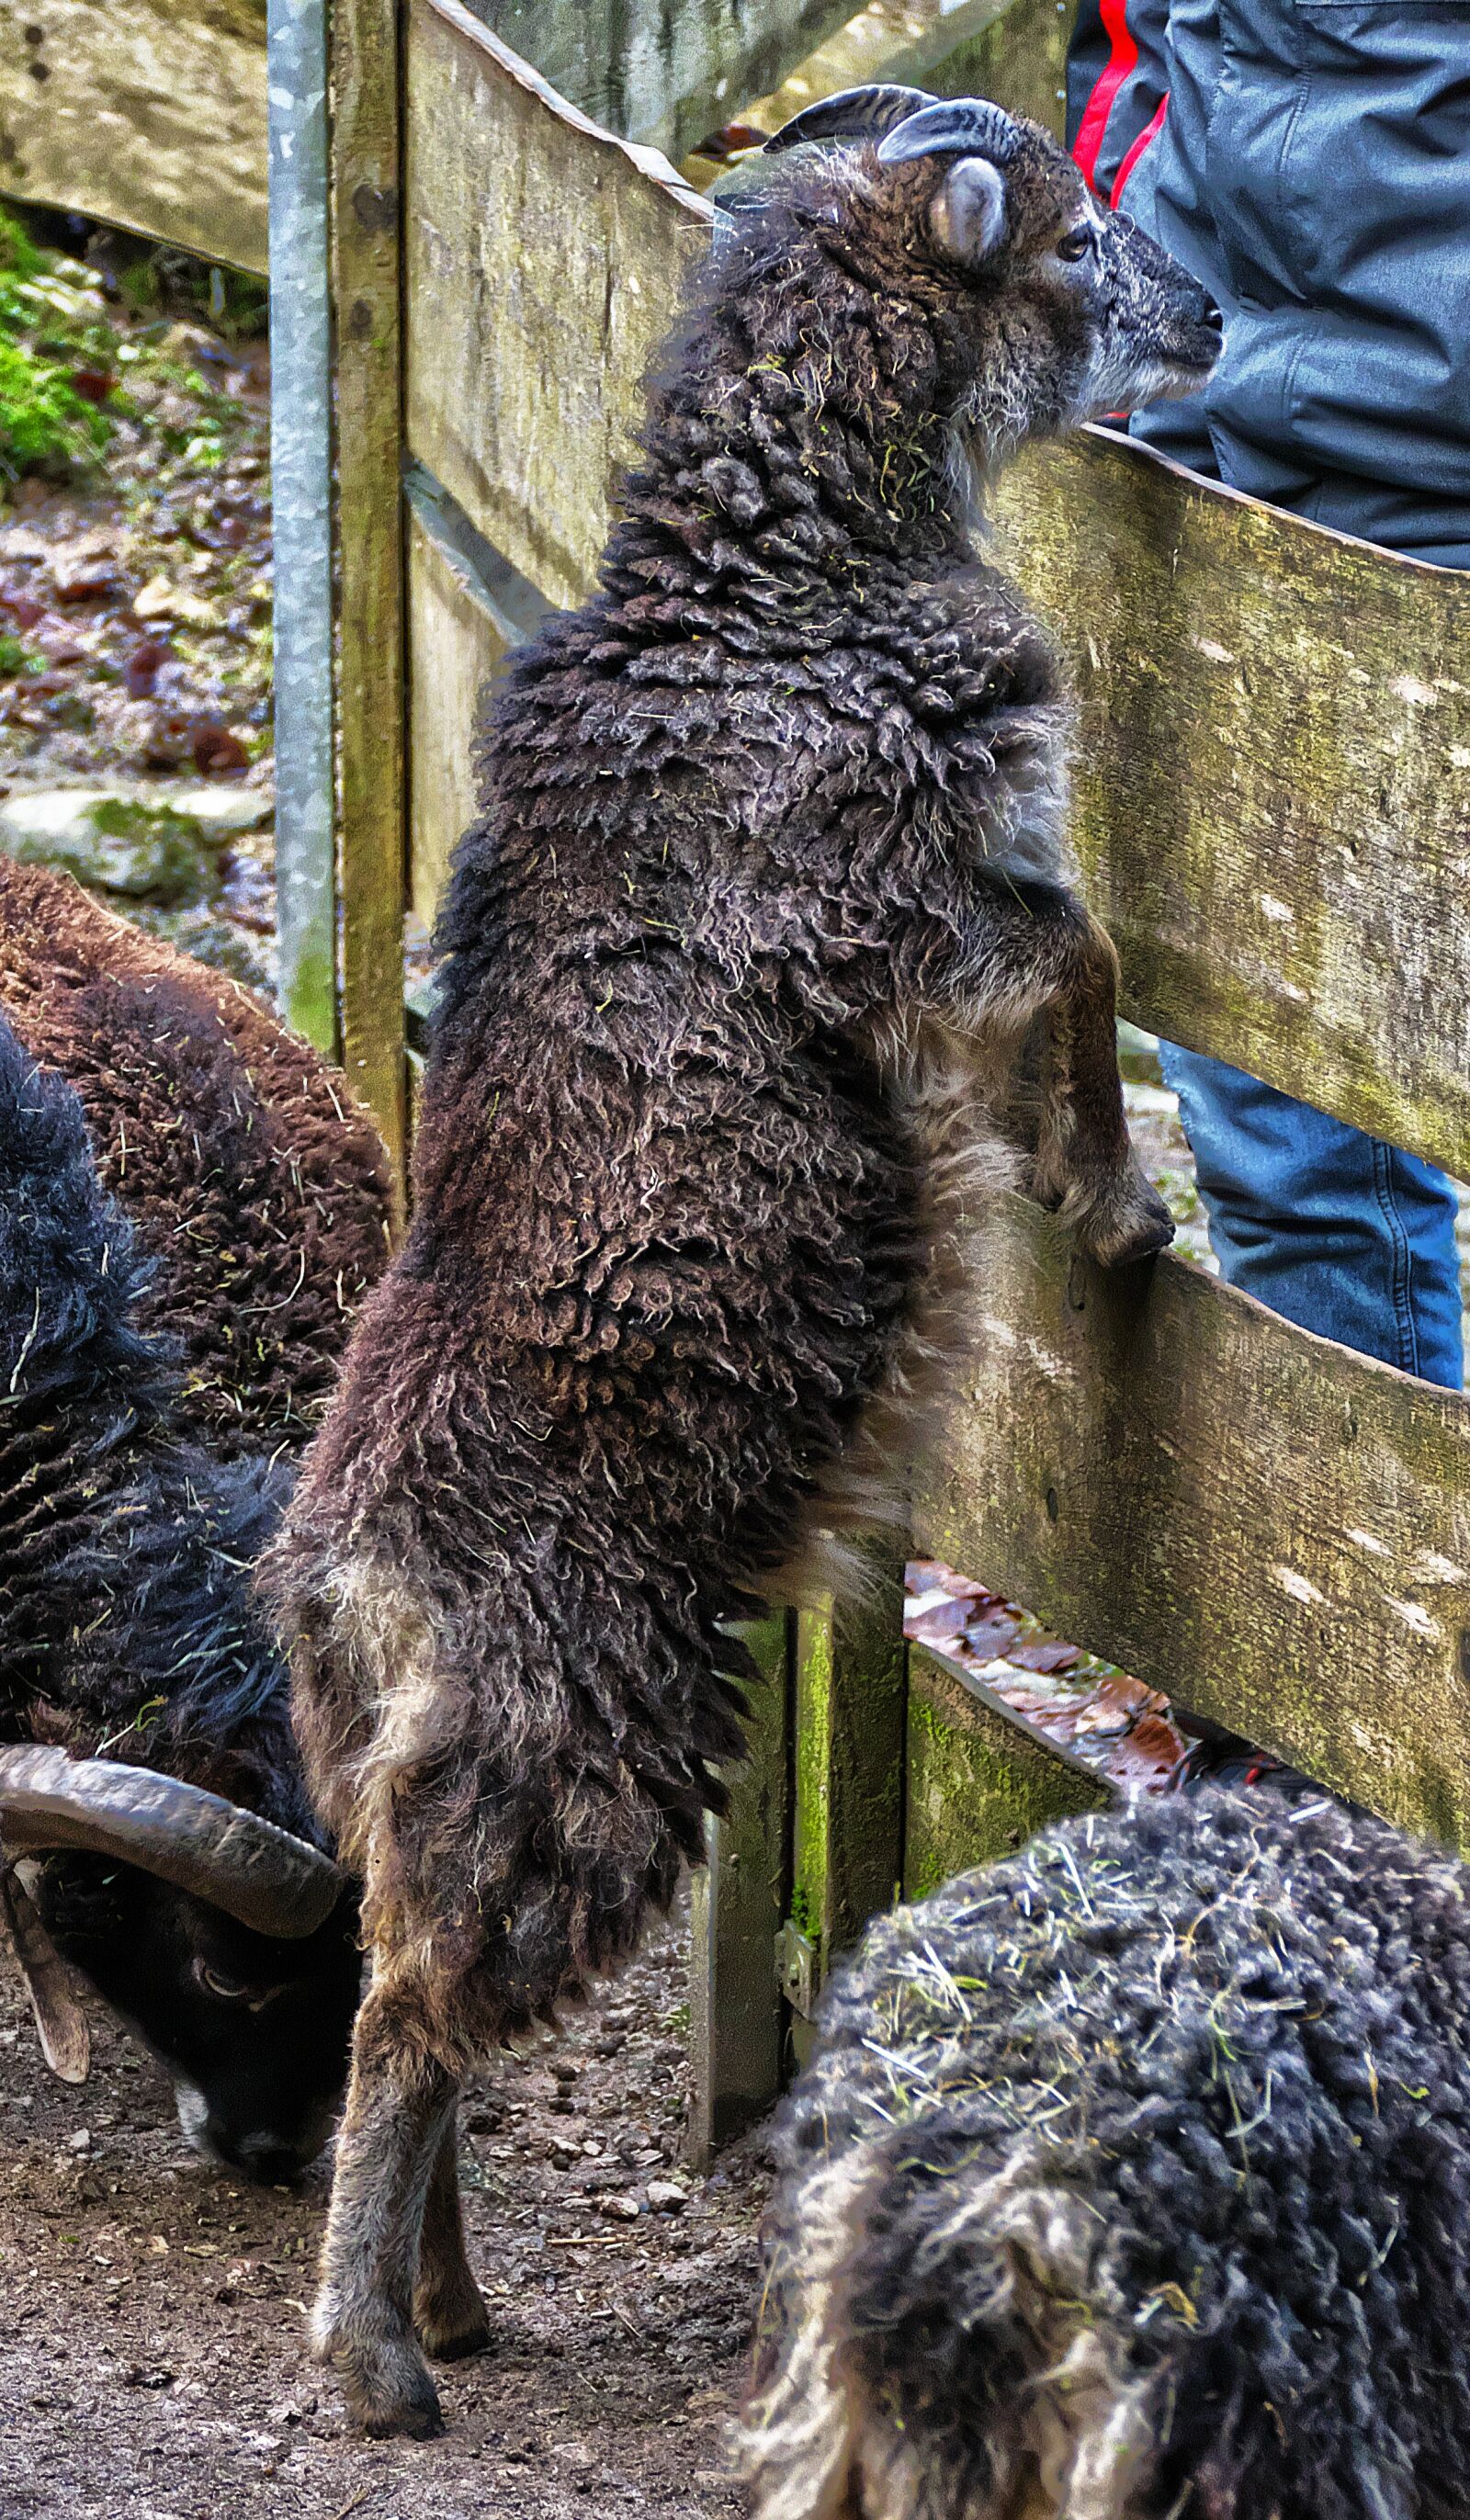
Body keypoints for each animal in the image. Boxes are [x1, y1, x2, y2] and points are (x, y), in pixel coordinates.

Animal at [265, 83, 1220, 2434]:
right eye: (1074, 239)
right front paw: (1112, 1203)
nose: (1205, 316)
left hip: (459, 1777)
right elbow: (1083, 957)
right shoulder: (912, 905)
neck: (772, 578)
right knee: (407, 2014)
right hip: (582, 1754)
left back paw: (448, 2303)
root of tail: (343, 1584)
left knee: (411, 1991)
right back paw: (373, 2356)